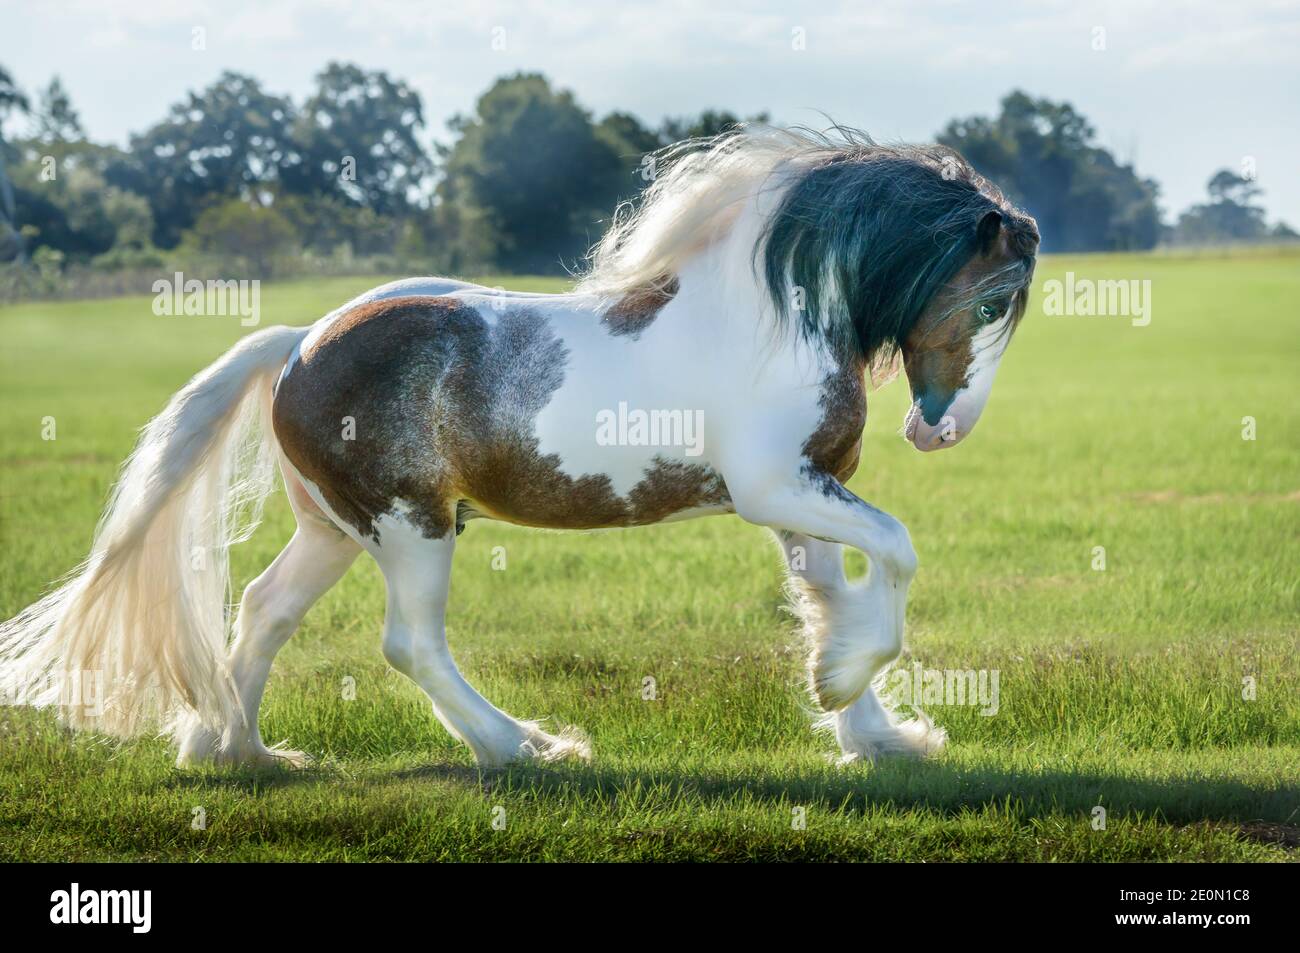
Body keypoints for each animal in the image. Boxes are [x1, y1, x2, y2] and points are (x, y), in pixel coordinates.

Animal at [0, 127, 1039, 768]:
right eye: (995, 300)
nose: (939, 428)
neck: (769, 317)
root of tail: (296, 344)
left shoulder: (806, 494)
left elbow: (833, 599)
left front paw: (874, 731)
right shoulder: (776, 486)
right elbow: (895, 555)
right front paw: (842, 691)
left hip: (335, 530)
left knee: (262, 610)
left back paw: (239, 751)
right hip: (411, 525)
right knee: (410, 643)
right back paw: (524, 746)